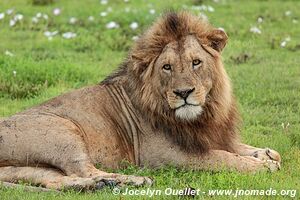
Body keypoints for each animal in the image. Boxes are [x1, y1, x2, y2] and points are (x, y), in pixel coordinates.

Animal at [0, 12, 282, 191]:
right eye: (167, 67)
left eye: (196, 62)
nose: (184, 93)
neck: (203, 116)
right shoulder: (169, 156)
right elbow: (224, 159)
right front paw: (263, 165)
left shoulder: (214, 136)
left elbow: (239, 148)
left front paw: (266, 153)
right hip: (63, 131)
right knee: (83, 169)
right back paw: (131, 181)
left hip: (24, 166)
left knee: (56, 179)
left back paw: (101, 185)